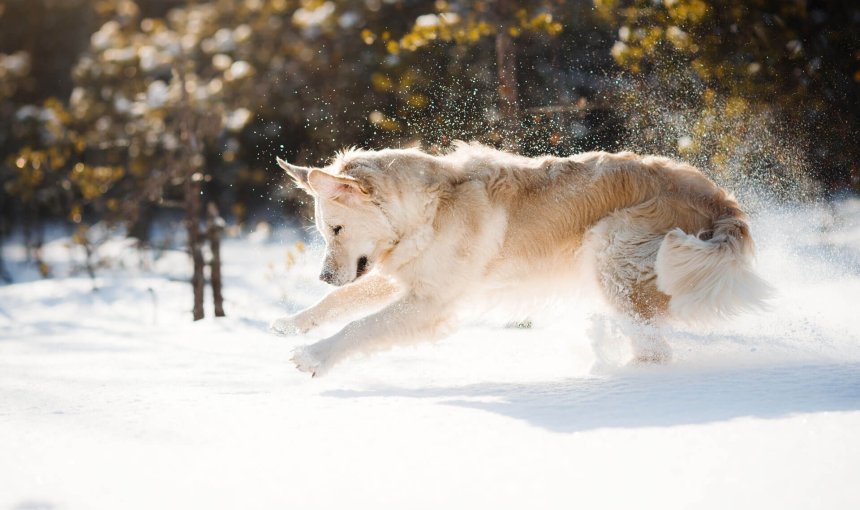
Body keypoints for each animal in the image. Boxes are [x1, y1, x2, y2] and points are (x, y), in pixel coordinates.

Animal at [272, 141, 768, 376]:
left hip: (610, 251)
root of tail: (720, 198)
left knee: (654, 351)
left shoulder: (430, 303)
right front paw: (292, 323)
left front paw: (313, 356)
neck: (428, 209)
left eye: (337, 229)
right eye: (324, 232)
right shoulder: (408, 276)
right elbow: (342, 303)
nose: (323, 276)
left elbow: (360, 327)